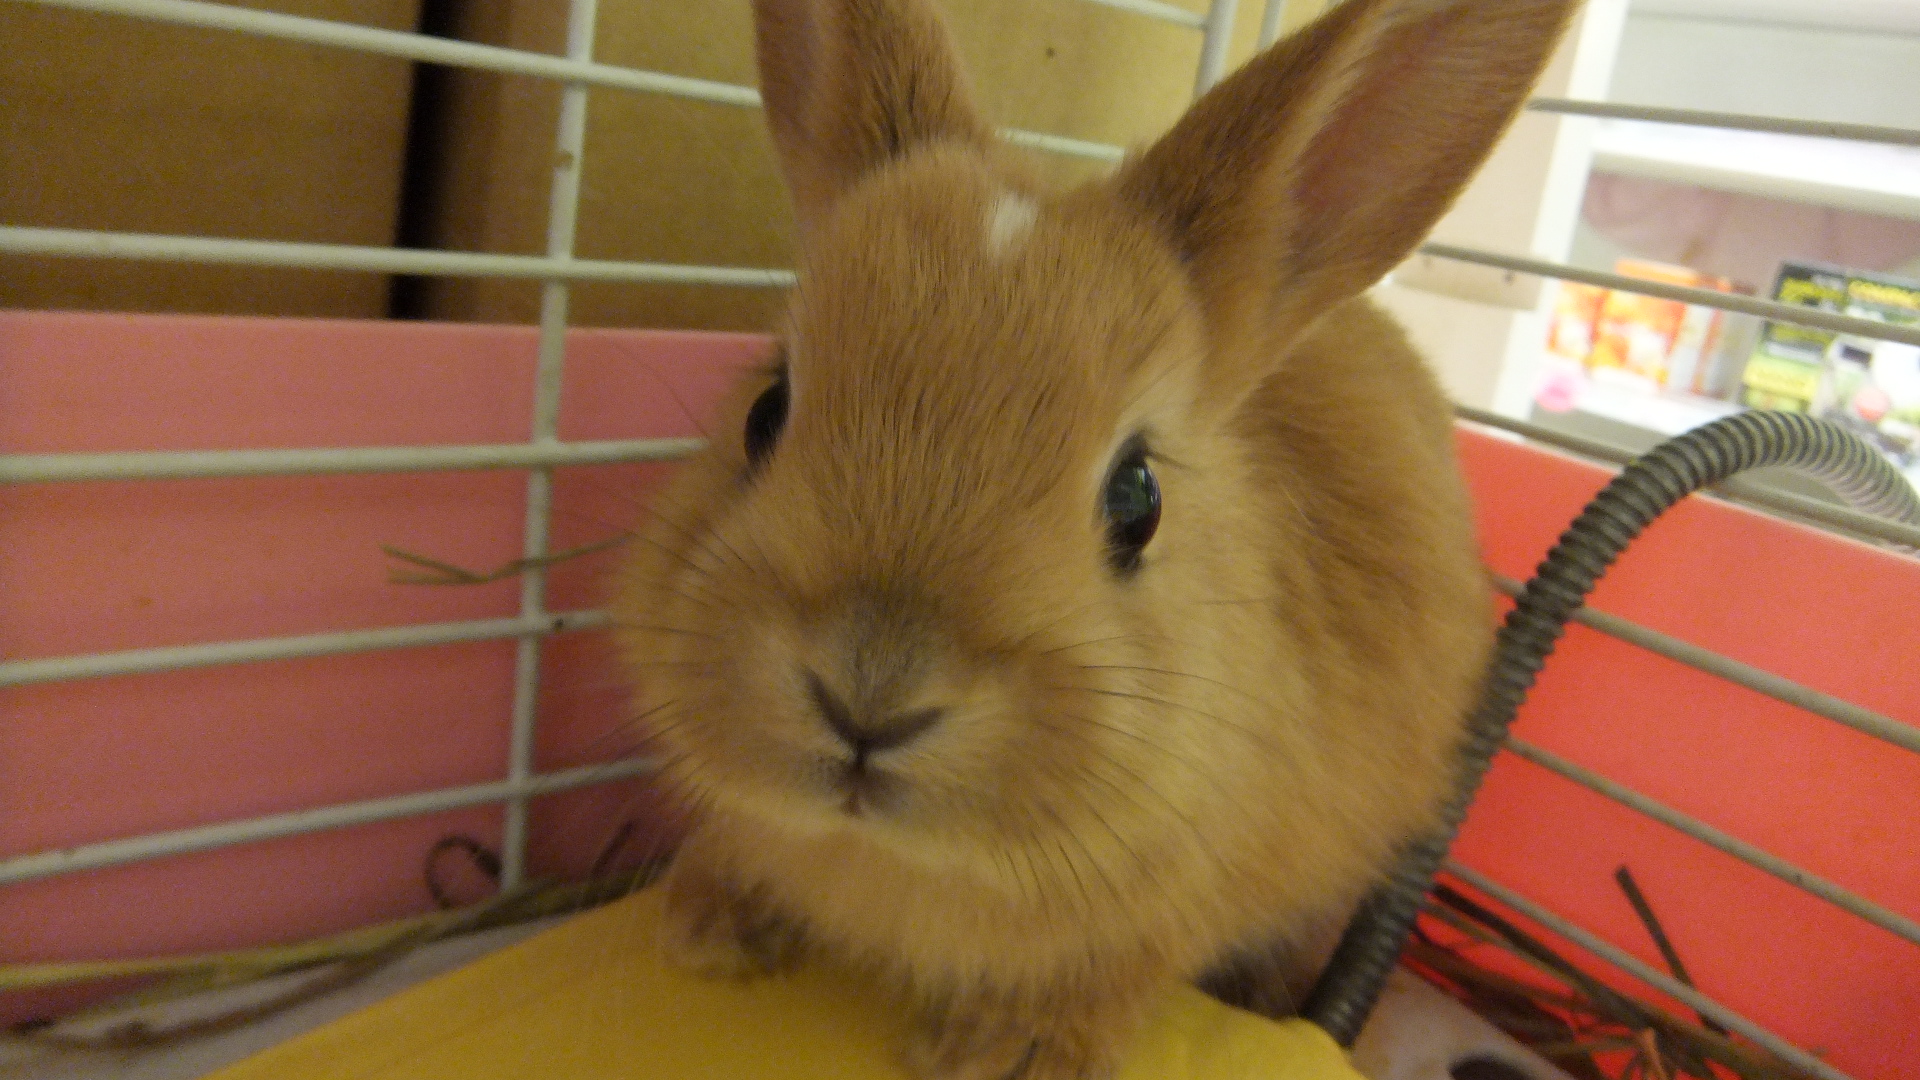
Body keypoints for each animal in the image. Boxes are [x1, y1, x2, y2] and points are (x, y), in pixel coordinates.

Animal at [609, 0, 1578, 1076]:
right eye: (766, 412)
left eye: (1137, 497)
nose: (868, 694)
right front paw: (707, 930)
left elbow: (1109, 974)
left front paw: (1005, 1054)